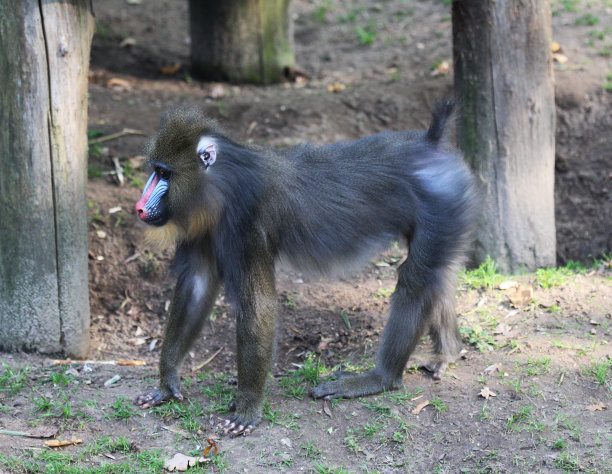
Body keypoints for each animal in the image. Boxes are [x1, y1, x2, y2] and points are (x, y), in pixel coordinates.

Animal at [134, 100, 478, 436]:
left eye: (164, 174)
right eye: (156, 170)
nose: (140, 207)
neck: (221, 182)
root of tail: (431, 144)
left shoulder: (246, 223)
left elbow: (258, 307)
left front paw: (247, 407)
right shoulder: (203, 226)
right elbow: (197, 284)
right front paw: (166, 384)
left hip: (439, 207)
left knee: (415, 281)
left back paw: (379, 378)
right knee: (439, 277)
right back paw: (447, 353)